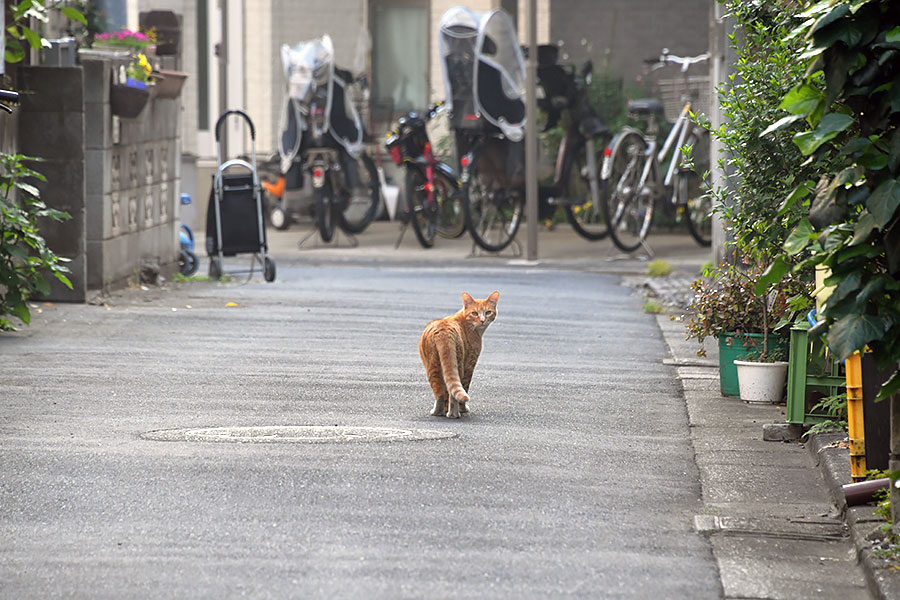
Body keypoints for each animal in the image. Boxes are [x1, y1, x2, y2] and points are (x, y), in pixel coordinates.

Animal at [416, 290, 500, 418]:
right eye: (474, 313)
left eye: (488, 312)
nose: (482, 320)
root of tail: (443, 330)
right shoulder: (470, 364)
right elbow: (464, 387)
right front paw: (463, 409)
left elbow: (447, 390)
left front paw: (446, 409)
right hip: (458, 364)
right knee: (453, 393)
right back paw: (453, 414)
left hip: (433, 365)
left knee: (440, 392)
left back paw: (441, 412)